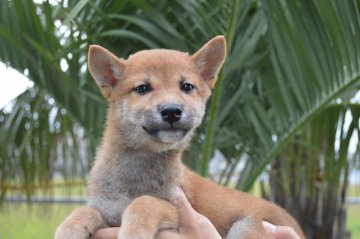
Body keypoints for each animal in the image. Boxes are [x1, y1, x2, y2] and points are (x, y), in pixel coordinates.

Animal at [55, 36, 304, 239]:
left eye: (186, 87)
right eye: (142, 88)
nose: (172, 111)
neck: (135, 171)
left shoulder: (178, 208)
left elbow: (144, 202)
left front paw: (134, 231)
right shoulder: (107, 211)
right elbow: (83, 210)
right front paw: (69, 228)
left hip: (244, 228)